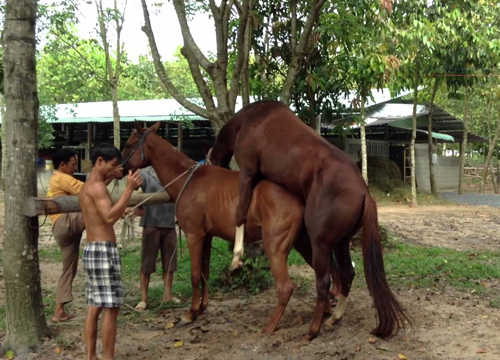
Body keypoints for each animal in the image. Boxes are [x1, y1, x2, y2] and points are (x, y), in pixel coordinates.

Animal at [121, 121, 328, 334]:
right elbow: (204, 272)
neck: (188, 181)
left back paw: (270, 326)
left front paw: (190, 313)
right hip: (304, 245)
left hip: (276, 249)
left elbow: (194, 274)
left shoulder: (194, 235)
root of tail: (300, 199)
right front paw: (202, 308)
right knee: (324, 278)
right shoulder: (206, 237)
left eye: (129, 144)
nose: (120, 168)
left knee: (286, 287)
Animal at [211, 100, 410, 340]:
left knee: (323, 283)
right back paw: (333, 318)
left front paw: (236, 258)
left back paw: (313, 330)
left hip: (321, 244)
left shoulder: (248, 172)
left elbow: (240, 212)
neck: (250, 119)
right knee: (347, 274)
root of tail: (364, 193)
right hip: (340, 243)